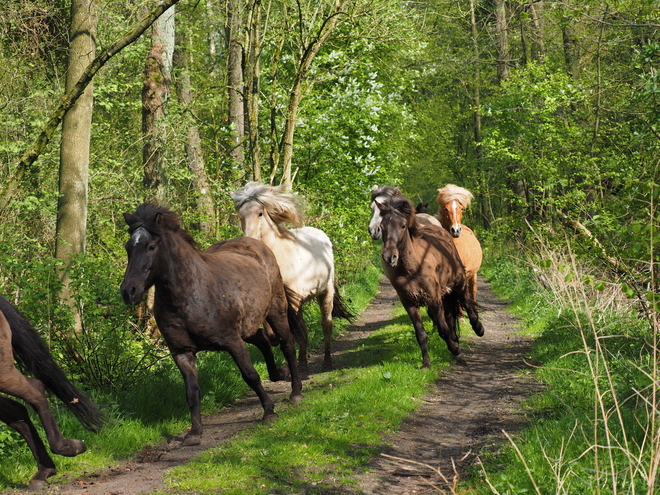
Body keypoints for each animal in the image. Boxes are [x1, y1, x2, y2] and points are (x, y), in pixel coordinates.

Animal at [120, 203, 302, 448]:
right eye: (128, 247)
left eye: (151, 246)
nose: (128, 291)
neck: (189, 294)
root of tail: (257, 245)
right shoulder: (182, 352)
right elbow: (191, 392)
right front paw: (194, 433)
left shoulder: (232, 342)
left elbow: (250, 375)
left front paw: (269, 412)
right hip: (248, 327)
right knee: (263, 339)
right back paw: (278, 374)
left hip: (276, 312)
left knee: (287, 345)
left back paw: (296, 392)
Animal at [232, 183, 356, 372]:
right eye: (241, 216)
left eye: (260, 213)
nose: (248, 240)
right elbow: (277, 332)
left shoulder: (295, 300)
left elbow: (296, 330)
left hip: (325, 292)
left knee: (326, 324)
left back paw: (326, 362)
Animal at [376, 194, 484, 368]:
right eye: (381, 227)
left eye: (403, 226)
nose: (389, 257)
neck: (412, 269)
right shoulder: (410, 304)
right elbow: (421, 334)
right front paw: (426, 363)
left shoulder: (434, 299)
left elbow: (443, 329)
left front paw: (456, 351)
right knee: (451, 317)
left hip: (459, 282)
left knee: (466, 302)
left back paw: (478, 328)